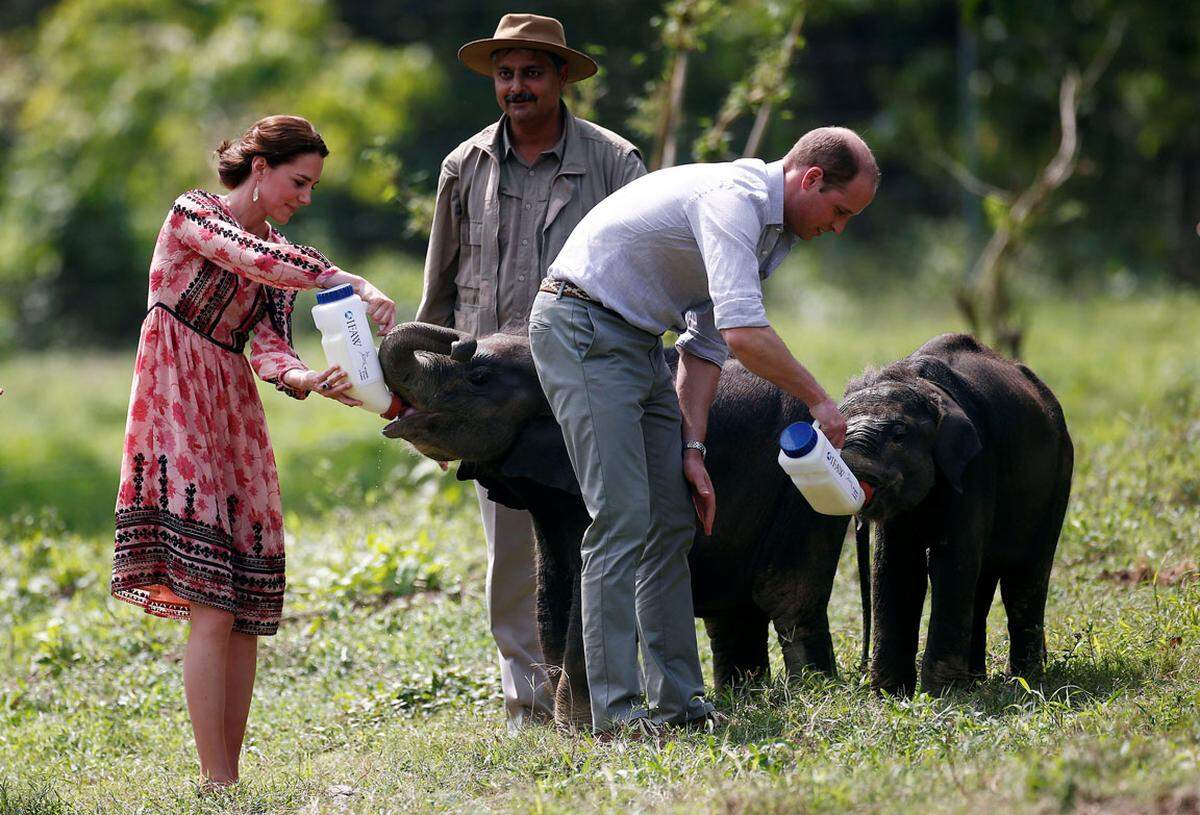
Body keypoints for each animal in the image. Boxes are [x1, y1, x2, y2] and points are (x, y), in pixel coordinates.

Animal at [840, 331, 1075, 696]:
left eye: (899, 435)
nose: (861, 670)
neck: (919, 383)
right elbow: (896, 567)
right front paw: (891, 694)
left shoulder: (976, 465)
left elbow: (950, 562)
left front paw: (939, 694)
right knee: (983, 582)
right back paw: (976, 681)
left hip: (1058, 476)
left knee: (1024, 576)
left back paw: (1025, 678)